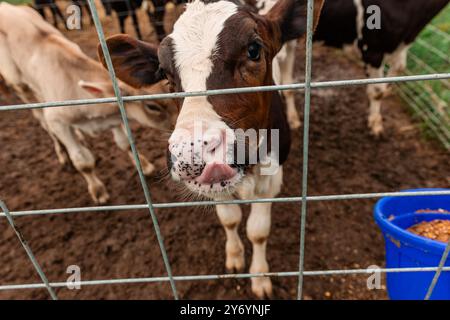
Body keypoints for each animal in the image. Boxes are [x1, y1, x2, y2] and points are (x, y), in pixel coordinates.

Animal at [0, 1, 176, 202]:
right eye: (152, 106)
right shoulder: (57, 120)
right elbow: (82, 162)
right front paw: (98, 190)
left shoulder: (114, 116)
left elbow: (125, 143)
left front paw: (144, 166)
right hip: (18, 83)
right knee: (41, 119)